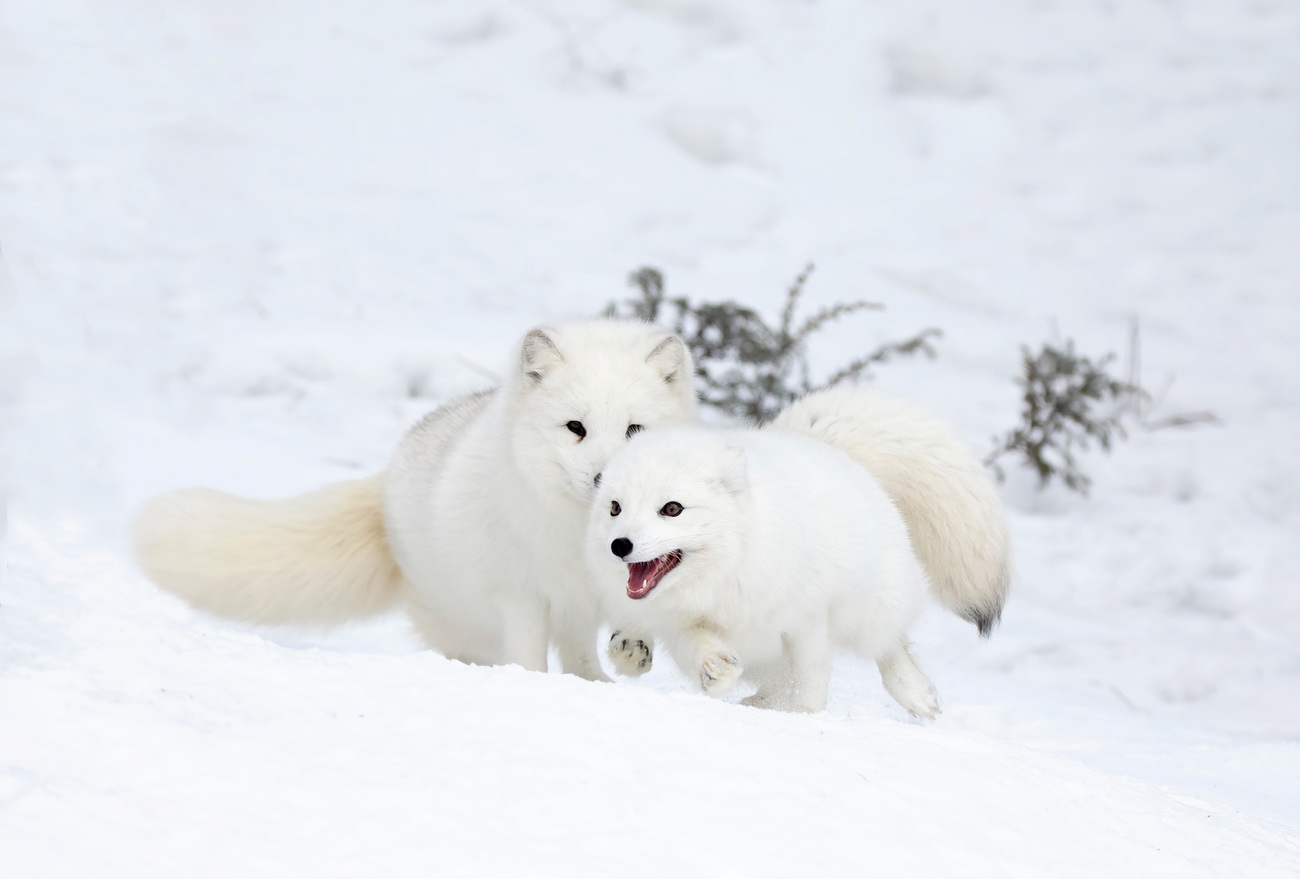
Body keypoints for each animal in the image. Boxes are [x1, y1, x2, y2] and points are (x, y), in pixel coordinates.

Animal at [590, 426, 946, 722]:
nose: (619, 545)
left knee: (891, 644)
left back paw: (916, 693)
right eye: (615, 508)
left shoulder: (807, 617)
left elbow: (809, 680)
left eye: (672, 509)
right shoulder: (680, 624)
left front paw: (803, 715)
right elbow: (699, 646)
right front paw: (716, 672)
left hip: (871, 609)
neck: (725, 572)